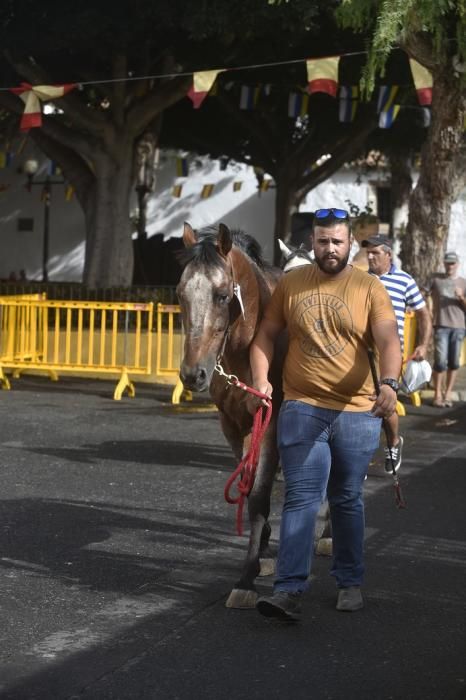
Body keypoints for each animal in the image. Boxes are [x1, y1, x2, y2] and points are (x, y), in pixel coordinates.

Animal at [176, 223, 282, 608]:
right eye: (180, 294)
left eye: (222, 296)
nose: (193, 374)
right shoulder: (233, 423)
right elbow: (247, 486)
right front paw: (262, 554)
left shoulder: (271, 422)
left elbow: (260, 495)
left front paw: (247, 577)